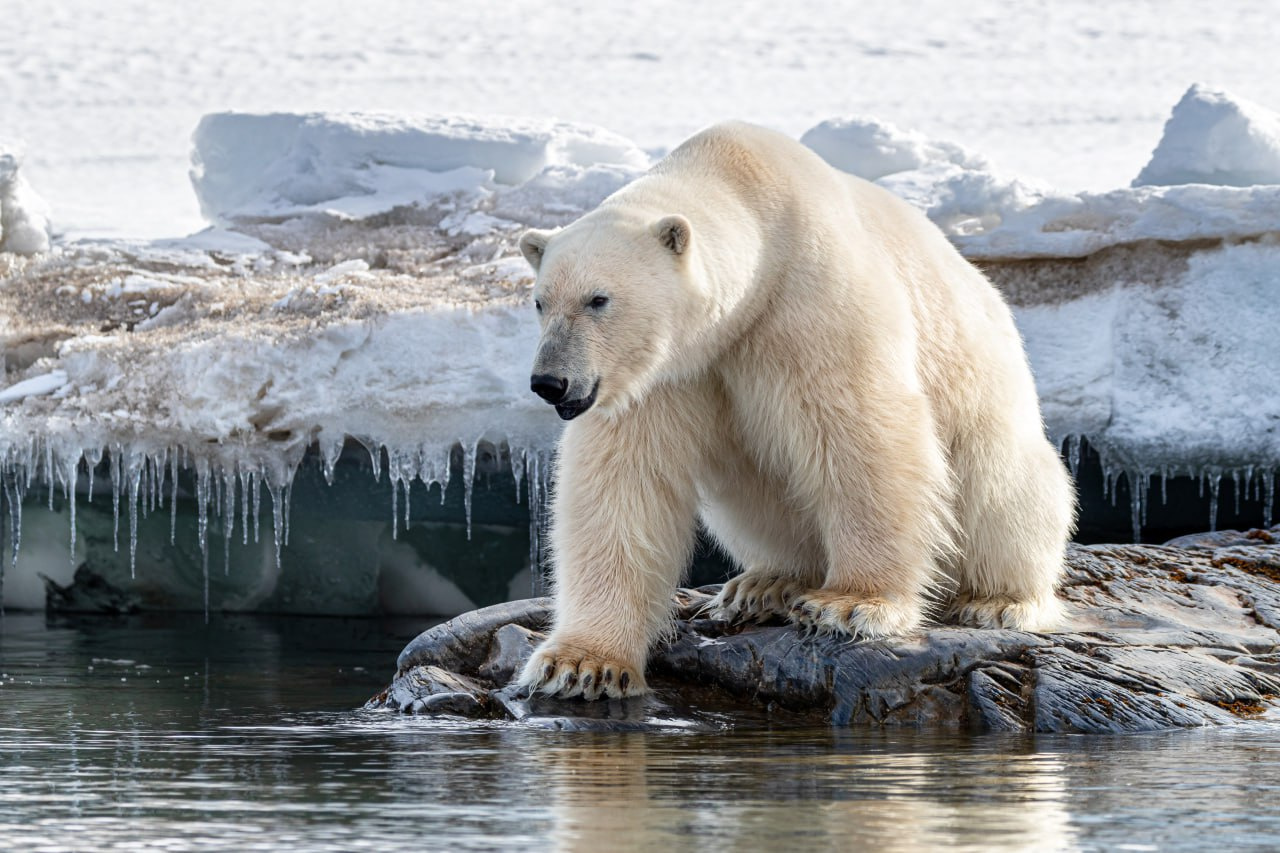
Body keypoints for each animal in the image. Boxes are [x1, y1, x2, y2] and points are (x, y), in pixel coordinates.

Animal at [514, 119, 1075, 696]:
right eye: (540, 302)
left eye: (599, 299)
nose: (550, 383)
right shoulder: (664, 373)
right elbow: (624, 482)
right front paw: (582, 664)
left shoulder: (809, 301)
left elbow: (861, 432)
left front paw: (851, 604)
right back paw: (765, 583)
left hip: (988, 403)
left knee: (1001, 488)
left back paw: (999, 600)